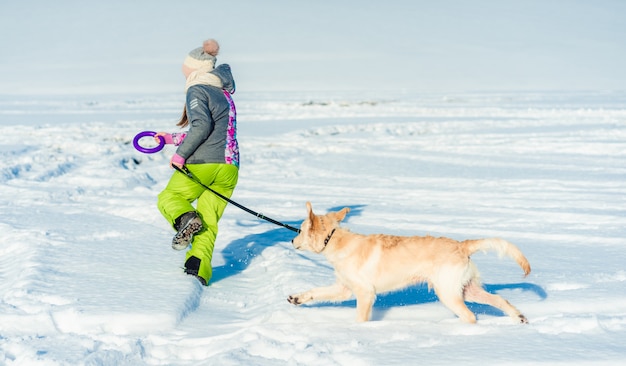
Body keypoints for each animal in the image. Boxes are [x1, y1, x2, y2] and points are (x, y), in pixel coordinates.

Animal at [286, 202, 528, 324]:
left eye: (300, 230)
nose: (290, 240)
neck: (336, 240)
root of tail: (462, 245)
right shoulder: (344, 288)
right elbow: (316, 292)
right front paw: (298, 298)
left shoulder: (365, 293)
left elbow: (361, 318)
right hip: (465, 289)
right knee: (498, 300)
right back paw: (518, 317)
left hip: (447, 293)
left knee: (469, 315)